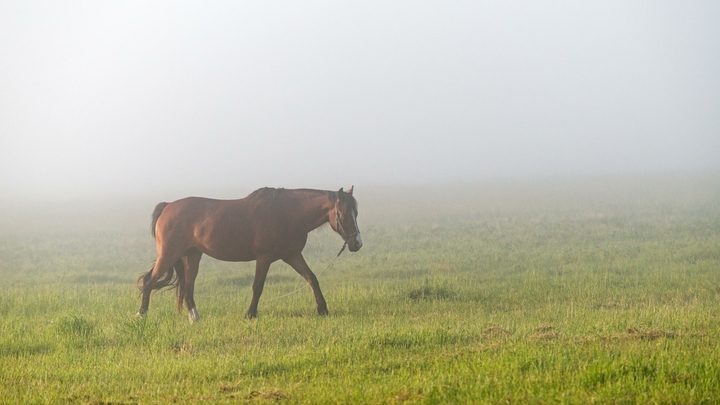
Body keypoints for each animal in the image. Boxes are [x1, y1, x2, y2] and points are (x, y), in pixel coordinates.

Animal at [136, 186, 362, 321]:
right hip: (169, 254)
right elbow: (257, 286)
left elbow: (312, 278)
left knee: (188, 287)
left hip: (192, 256)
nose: (357, 243)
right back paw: (141, 314)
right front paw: (250, 314)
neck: (286, 213)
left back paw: (195, 318)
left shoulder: (293, 256)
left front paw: (323, 309)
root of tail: (167, 206)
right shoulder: (264, 258)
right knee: (149, 281)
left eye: (356, 213)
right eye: (342, 214)